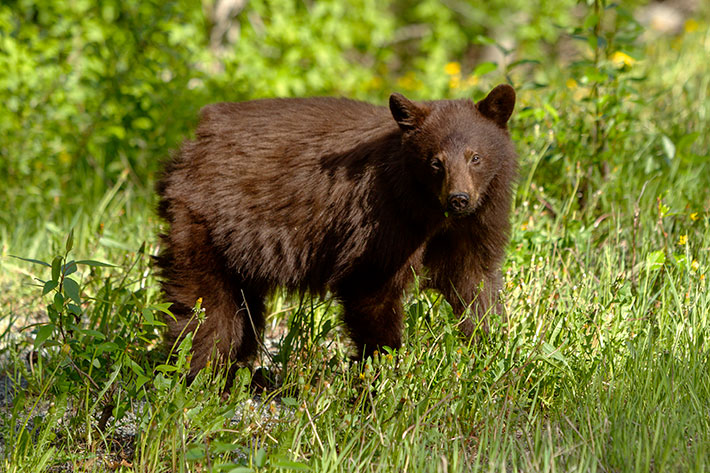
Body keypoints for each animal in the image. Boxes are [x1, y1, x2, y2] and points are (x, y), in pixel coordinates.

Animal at [157, 83, 516, 374]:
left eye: (475, 157)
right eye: (435, 162)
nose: (458, 199)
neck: (431, 211)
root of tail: (191, 144)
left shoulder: (474, 224)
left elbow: (474, 282)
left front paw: (491, 348)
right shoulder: (384, 217)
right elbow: (372, 285)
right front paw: (379, 368)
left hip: (238, 249)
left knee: (242, 312)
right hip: (204, 221)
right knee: (208, 313)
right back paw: (201, 375)